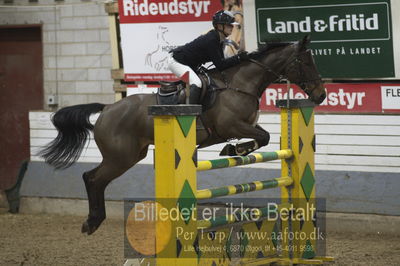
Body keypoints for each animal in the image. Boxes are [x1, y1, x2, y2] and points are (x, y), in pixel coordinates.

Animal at [39, 35, 324, 235]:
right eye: (306, 62)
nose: (320, 96)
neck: (241, 83)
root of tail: (107, 108)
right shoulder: (232, 126)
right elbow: (262, 138)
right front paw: (234, 150)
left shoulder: (243, 126)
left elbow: (263, 137)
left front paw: (235, 149)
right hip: (121, 157)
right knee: (93, 178)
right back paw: (92, 222)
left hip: (131, 155)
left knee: (96, 179)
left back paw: (94, 221)